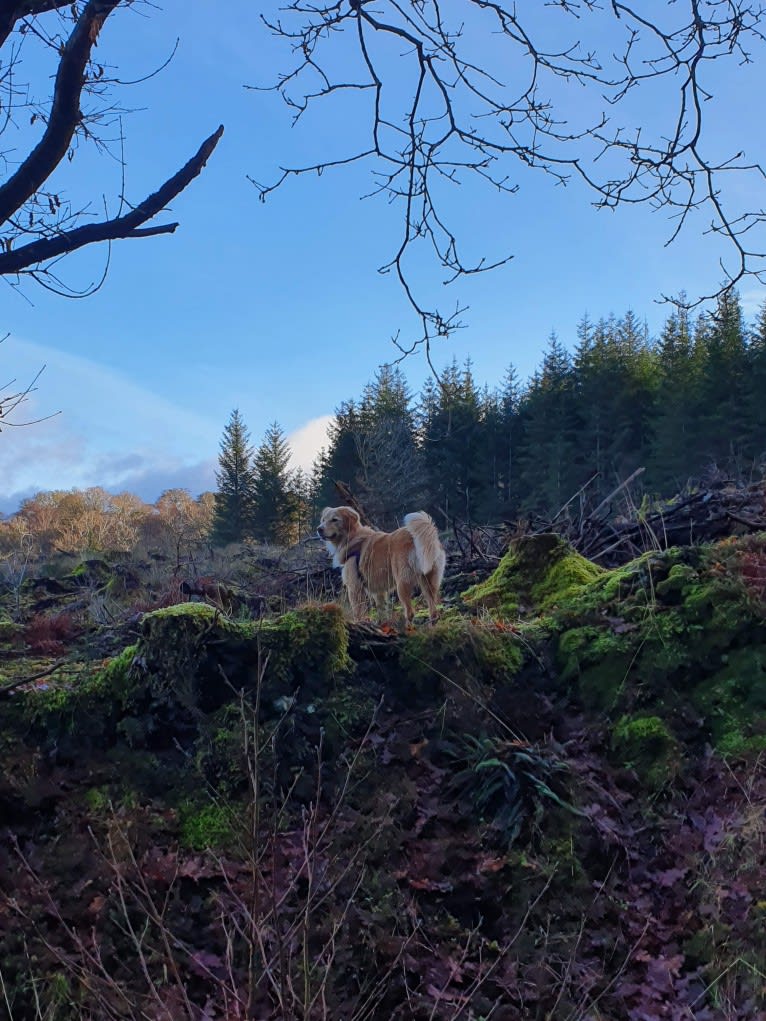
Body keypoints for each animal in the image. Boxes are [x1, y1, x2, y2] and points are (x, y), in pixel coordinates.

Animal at [318, 506, 447, 624]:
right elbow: (382, 610)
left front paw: (359, 622)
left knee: (410, 612)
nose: (319, 529)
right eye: (323, 519)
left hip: (402, 584)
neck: (352, 537)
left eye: (334, 520)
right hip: (428, 582)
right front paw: (382, 625)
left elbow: (358, 611)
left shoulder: (355, 587)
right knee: (435, 610)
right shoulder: (378, 591)